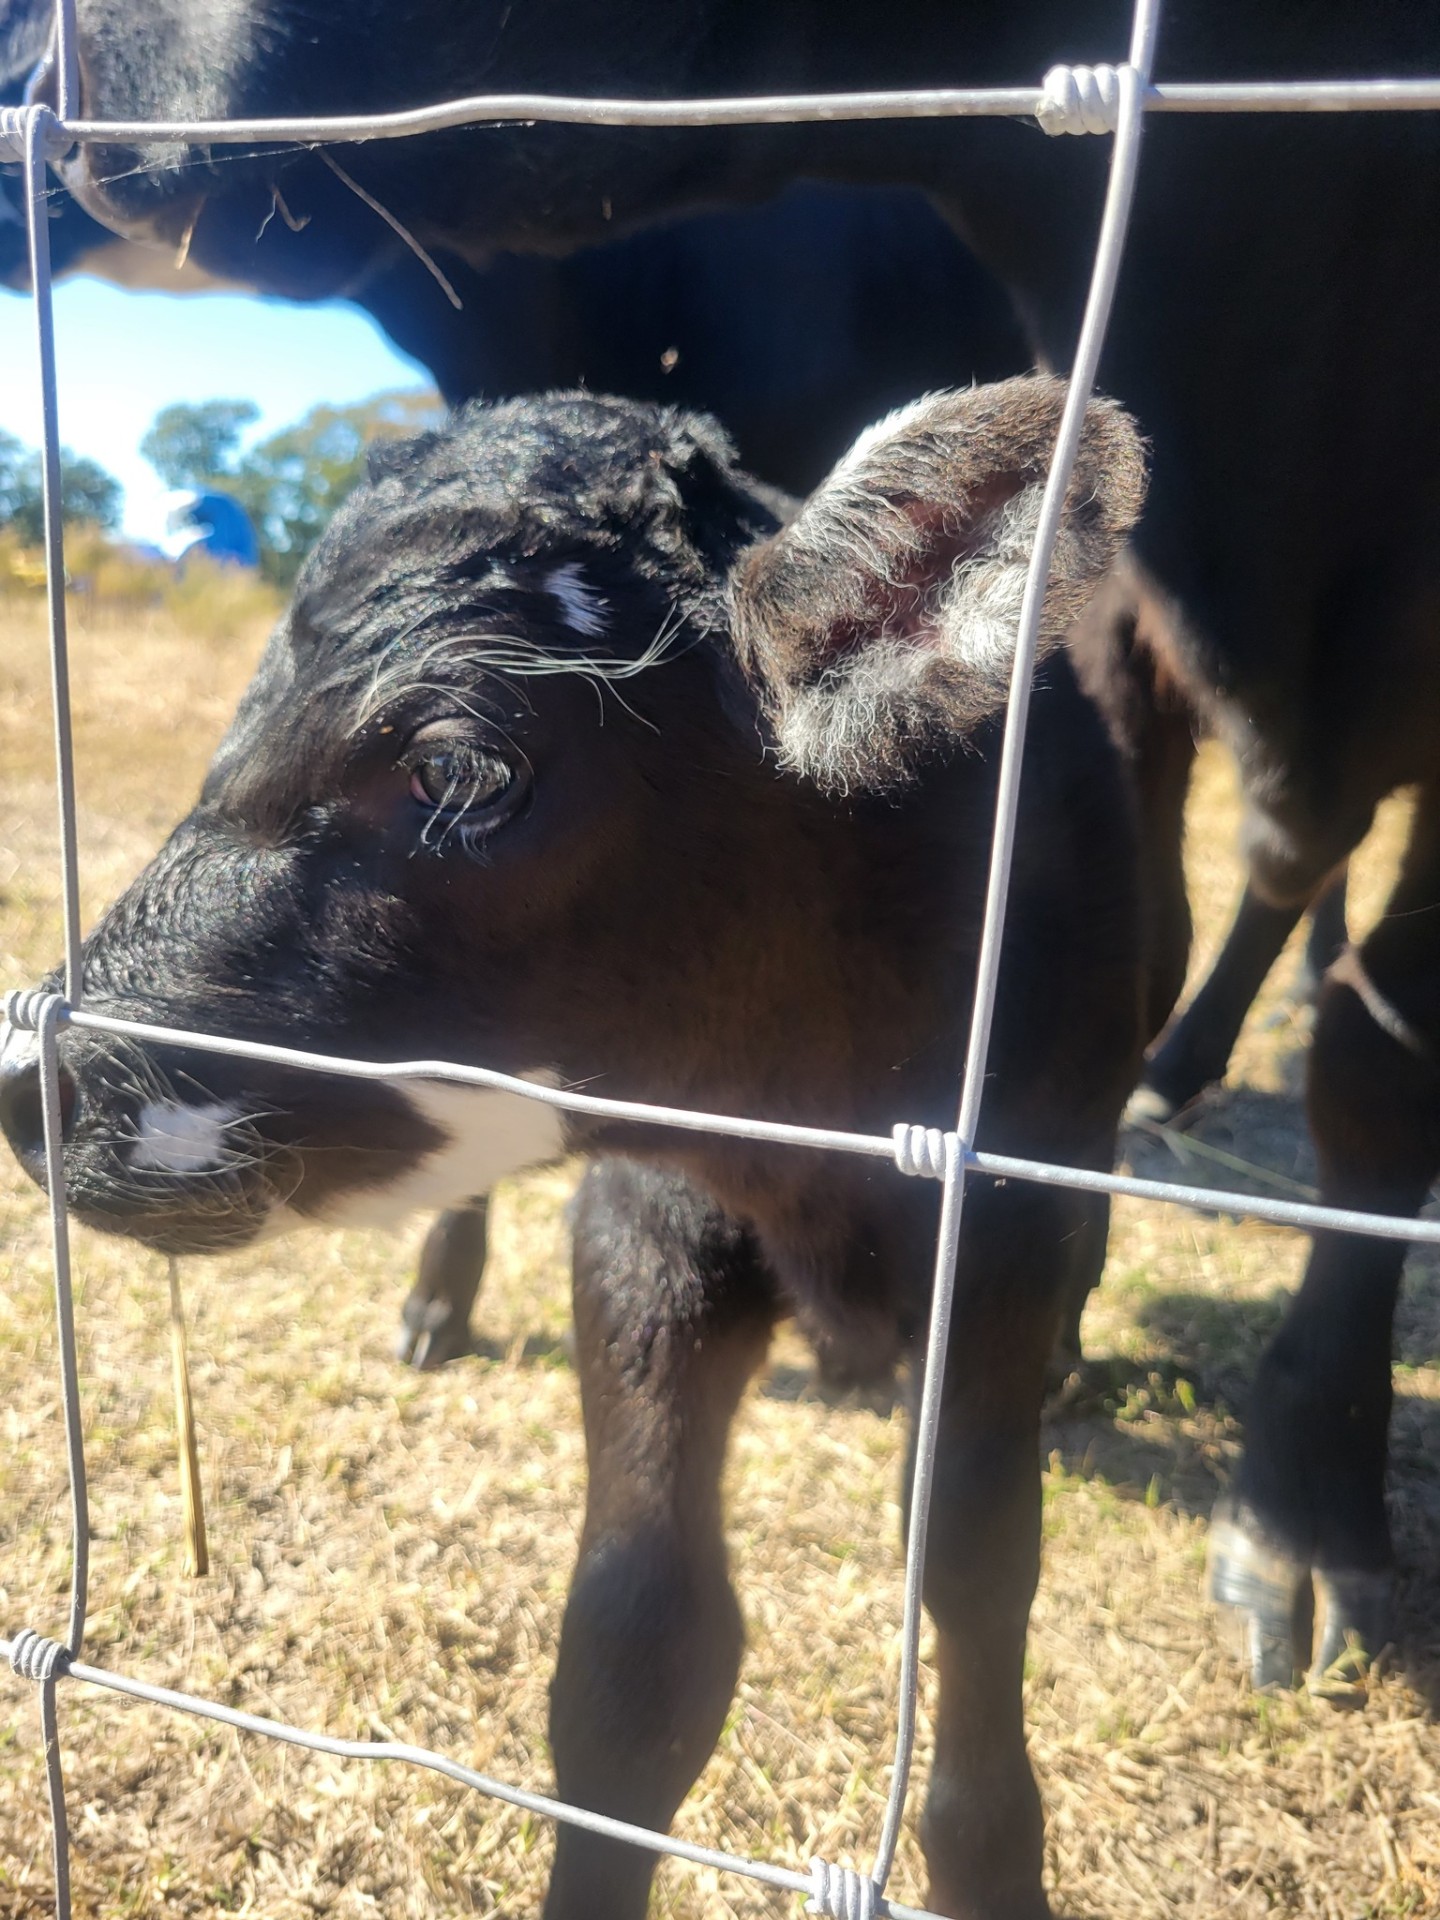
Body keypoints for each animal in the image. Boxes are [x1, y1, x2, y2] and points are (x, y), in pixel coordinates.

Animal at [1, 375, 1154, 1920]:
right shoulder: (644, 1220)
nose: (33, 1074)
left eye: (456, 768)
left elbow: (974, 1579)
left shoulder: (1005, 1236)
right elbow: (636, 1654)